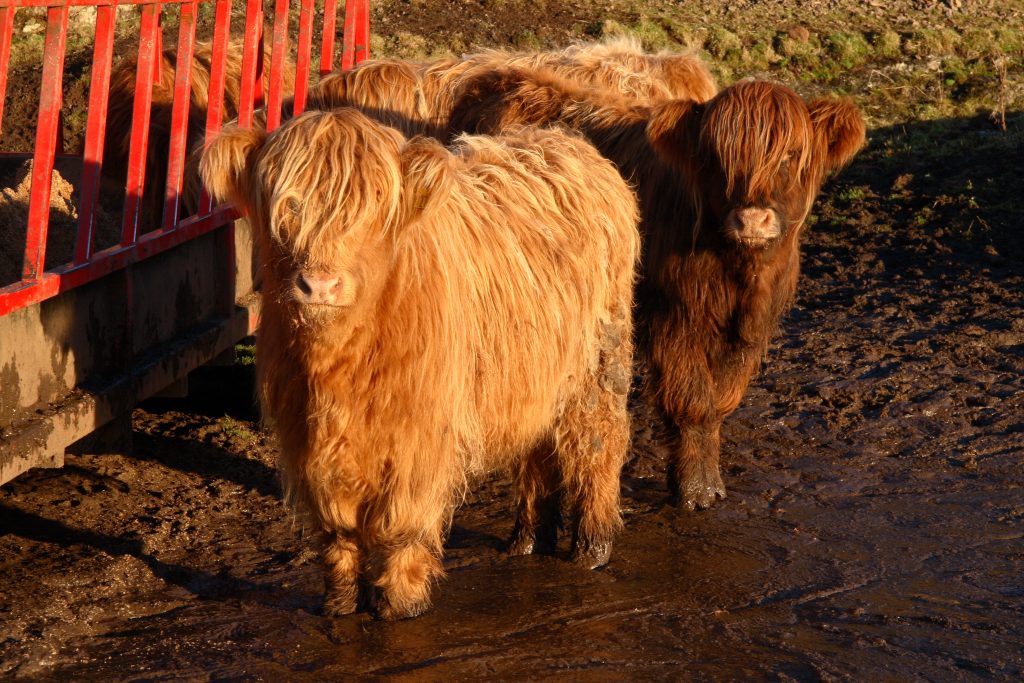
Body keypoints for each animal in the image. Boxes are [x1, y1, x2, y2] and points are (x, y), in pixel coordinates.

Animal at [199, 109, 638, 622]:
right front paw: (341, 601)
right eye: (286, 206)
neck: (339, 368)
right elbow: (338, 528)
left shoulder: (420, 435)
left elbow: (400, 522)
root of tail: (566, 142)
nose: (319, 286)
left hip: (600, 363)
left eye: (372, 209)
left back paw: (592, 547)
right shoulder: (307, 438)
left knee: (598, 442)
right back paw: (527, 540)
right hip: (536, 375)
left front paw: (400, 602)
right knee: (537, 449)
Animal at [448, 69, 864, 509]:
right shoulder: (674, 317)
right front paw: (697, 490)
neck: (739, 274)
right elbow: (693, 402)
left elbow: (722, 398)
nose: (751, 219)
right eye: (715, 160)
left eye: (790, 156)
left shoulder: (750, 330)